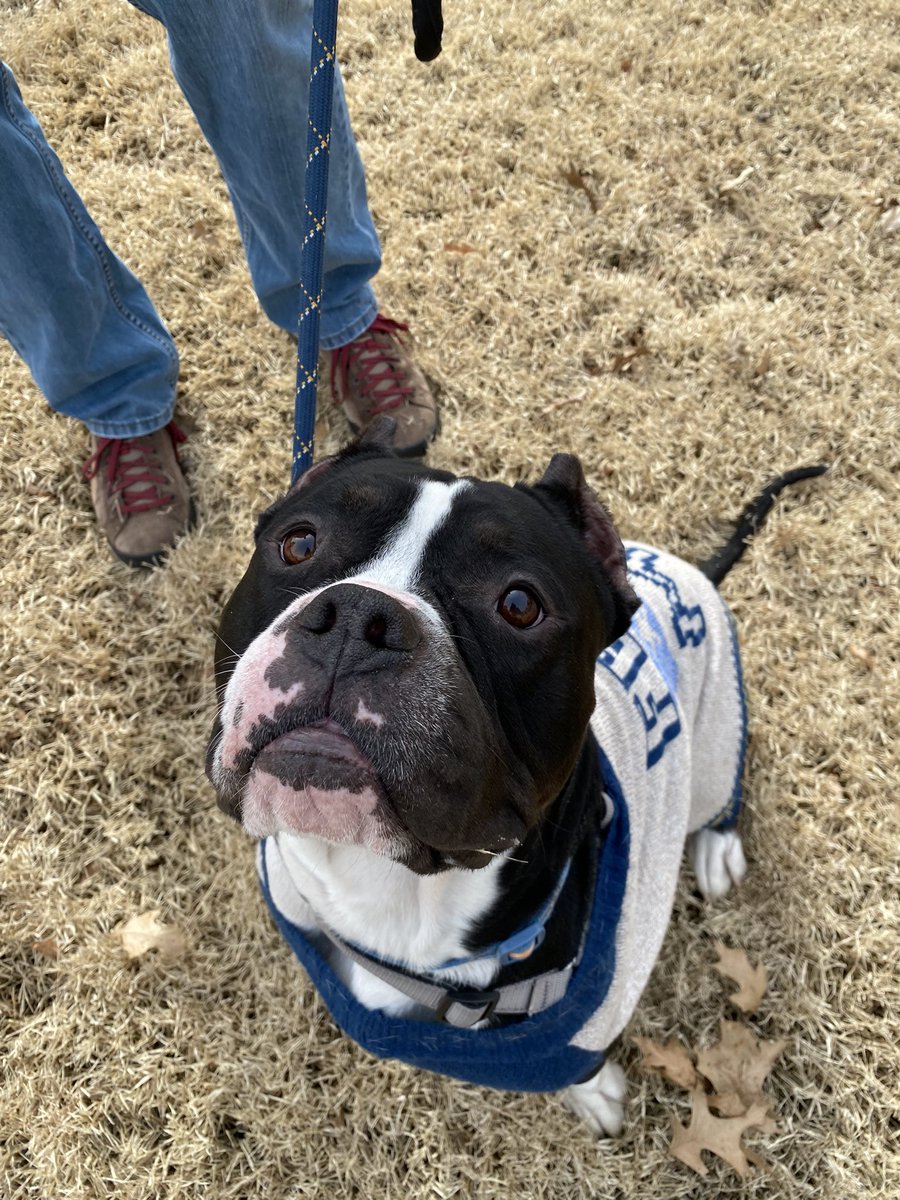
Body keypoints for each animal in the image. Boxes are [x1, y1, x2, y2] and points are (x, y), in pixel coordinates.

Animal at [207, 422, 830, 1132]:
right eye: (299, 543)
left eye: (519, 604)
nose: (359, 618)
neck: (395, 890)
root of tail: (692, 570)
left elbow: (583, 1066)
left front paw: (594, 1093)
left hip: (719, 736)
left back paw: (717, 847)